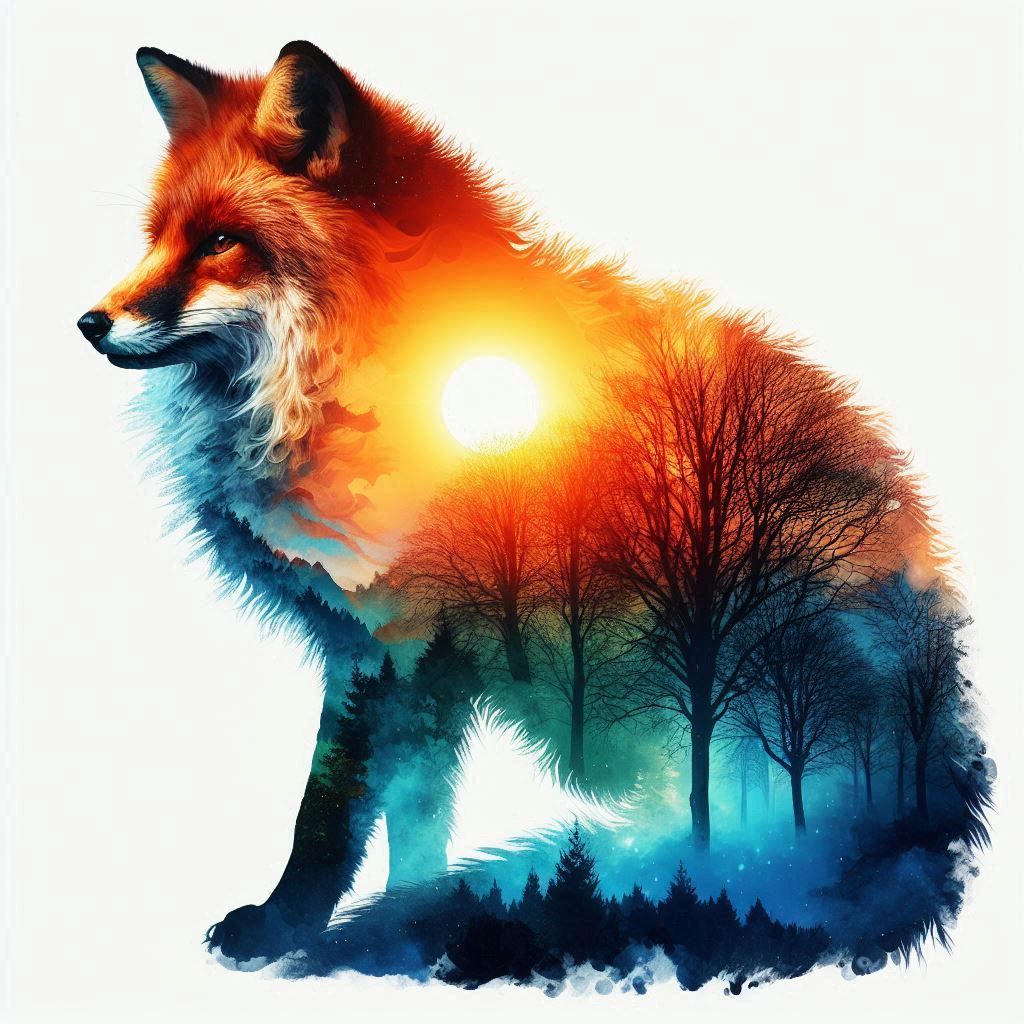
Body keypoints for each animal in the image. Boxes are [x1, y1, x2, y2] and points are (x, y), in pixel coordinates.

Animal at [80, 41, 941, 969]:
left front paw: (295, 929)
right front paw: (403, 918)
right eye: (157, 241)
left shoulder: (395, 647)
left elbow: (328, 815)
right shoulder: (412, 664)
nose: (89, 323)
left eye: (222, 242)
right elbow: (414, 819)